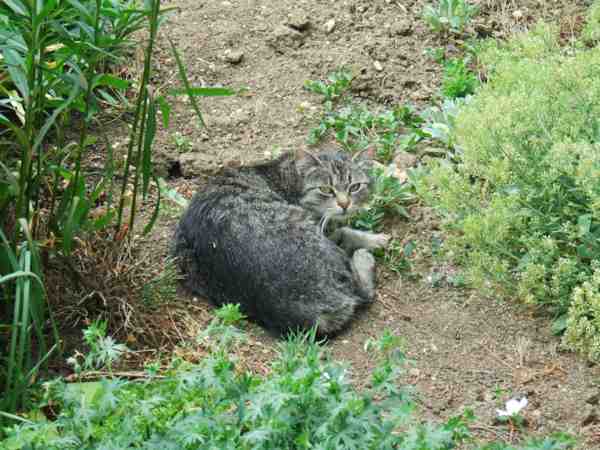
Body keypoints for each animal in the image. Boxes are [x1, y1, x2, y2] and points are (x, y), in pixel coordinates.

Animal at [173, 149, 390, 336]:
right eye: (325, 189)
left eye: (355, 187)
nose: (345, 204)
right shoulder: (322, 227)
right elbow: (344, 231)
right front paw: (375, 239)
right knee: (363, 291)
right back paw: (364, 257)